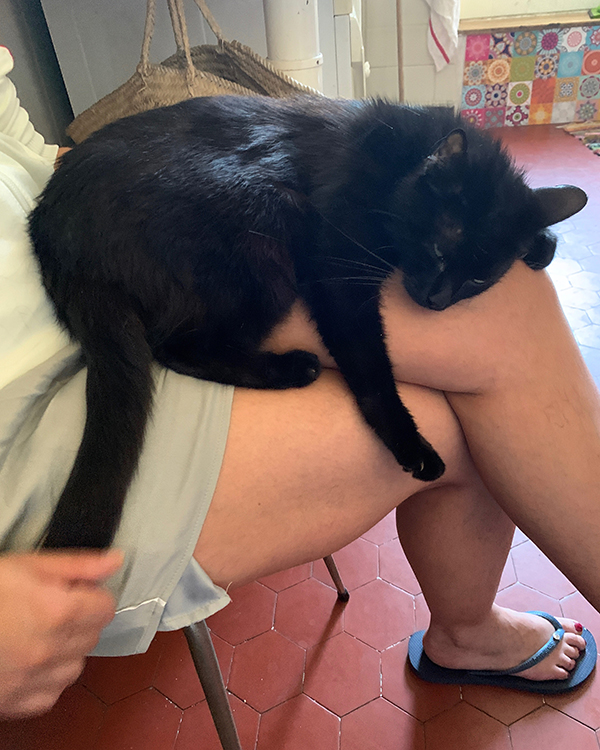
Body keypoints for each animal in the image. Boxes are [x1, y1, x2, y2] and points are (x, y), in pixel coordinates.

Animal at [28, 95, 587, 550]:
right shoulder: (339, 272)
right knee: (175, 347)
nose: (437, 300)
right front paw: (411, 444)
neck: (399, 160)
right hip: (270, 225)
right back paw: (293, 369)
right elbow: (370, 365)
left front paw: (542, 242)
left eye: (478, 279)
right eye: (437, 250)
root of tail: (58, 233)